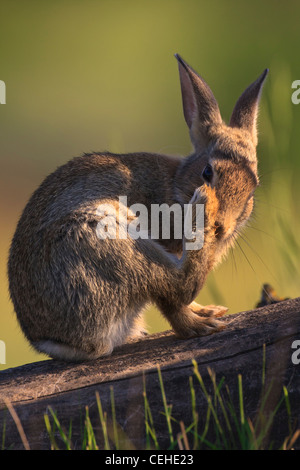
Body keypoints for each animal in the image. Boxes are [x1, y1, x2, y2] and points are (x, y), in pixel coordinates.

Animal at [8, 56, 268, 364]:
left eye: (253, 187)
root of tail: (58, 342)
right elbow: (171, 302)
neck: (176, 186)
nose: (221, 226)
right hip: (105, 239)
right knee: (178, 283)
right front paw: (198, 322)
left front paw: (202, 311)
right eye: (207, 172)